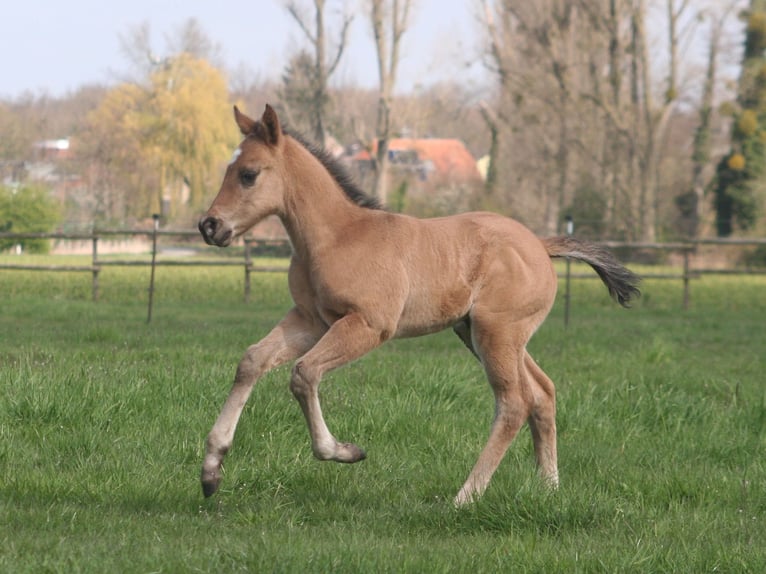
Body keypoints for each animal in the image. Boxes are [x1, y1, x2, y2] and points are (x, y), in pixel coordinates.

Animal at [198, 104, 640, 505]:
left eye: (249, 174)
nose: (209, 226)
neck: (337, 236)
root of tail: (540, 246)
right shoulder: (310, 320)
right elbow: (252, 361)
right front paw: (211, 470)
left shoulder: (368, 325)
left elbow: (303, 374)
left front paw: (344, 451)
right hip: (483, 333)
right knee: (542, 392)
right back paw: (548, 487)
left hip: (496, 334)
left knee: (514, 403)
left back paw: (466, 497)